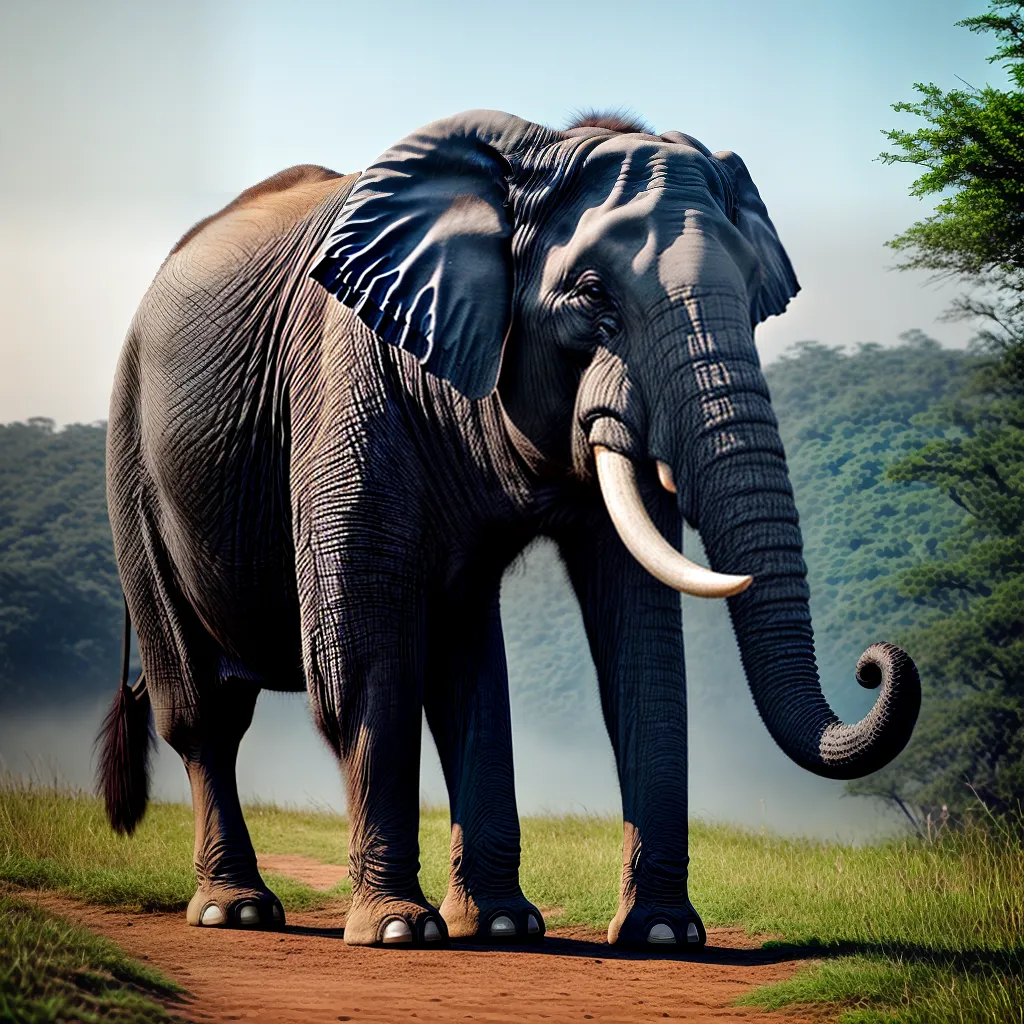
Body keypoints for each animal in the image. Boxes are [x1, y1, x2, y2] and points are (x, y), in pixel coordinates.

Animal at [97, 108, 921, 950]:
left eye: (757, 299)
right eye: (592, 296)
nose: (874, 664)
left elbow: (643, 646)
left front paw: (661, 936)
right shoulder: (345, 383)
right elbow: (361, 656)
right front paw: (399, 933)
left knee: (464, 662)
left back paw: (498, 923)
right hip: (133, 464)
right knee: (205, 712)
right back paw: (238, 911)